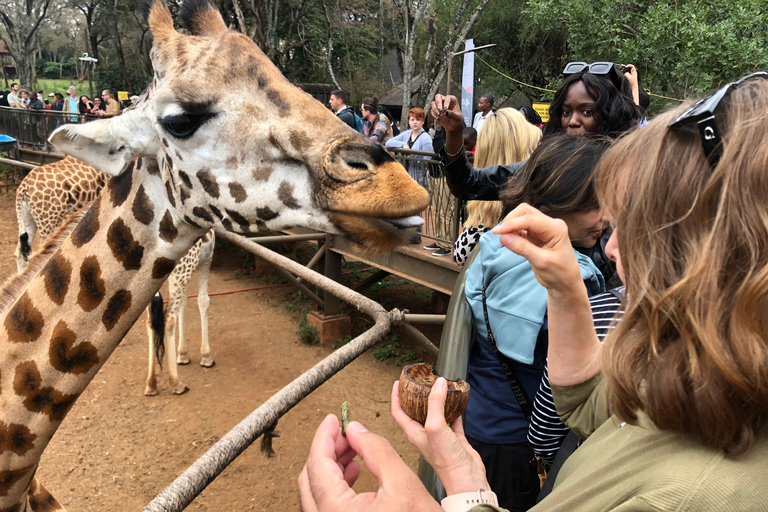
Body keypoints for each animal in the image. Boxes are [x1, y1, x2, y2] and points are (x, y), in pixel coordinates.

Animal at [14, 159, 219, 396]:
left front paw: (183, 354)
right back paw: (175, 383)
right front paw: (205, 357)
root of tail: (23, 189)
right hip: (49, 221)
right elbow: (203, 301)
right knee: (166, 319)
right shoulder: (202, 263)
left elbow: (185, 305)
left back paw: (151, 383)